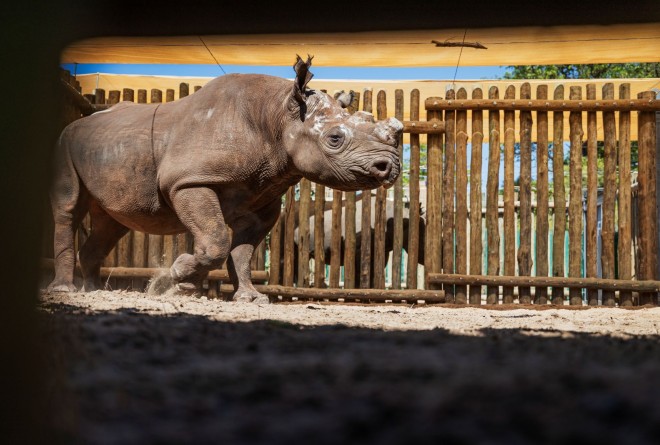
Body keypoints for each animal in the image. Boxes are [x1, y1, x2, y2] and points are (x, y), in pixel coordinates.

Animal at [47, 55, 403, 303]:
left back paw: (92, 290)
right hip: (65, 142)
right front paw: (177, 279)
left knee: (113, 223)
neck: (277, 114)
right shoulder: (189, 180)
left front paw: (249, 297)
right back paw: (65, 290)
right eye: (334, 139)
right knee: (69, 208)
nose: (390, 166)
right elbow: (216, 239)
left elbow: (242, 252)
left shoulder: (263, 199)